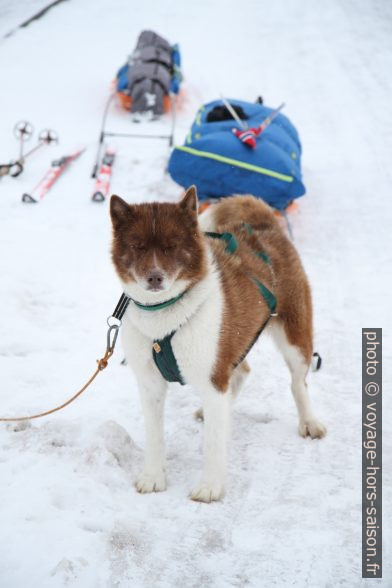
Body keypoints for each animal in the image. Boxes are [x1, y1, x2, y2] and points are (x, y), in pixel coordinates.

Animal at [108, 186, 326, 504]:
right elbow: (154, 436)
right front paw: (153, 477)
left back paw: (309, 421)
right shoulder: (151, 384)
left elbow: (213, 443)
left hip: (294, 337)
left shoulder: (213, 378)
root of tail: (263, 223)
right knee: (241, 373)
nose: (155, 277)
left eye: (172, 246)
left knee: (298, 382)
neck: (165, 315)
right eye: (137, 246)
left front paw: (210, 487)